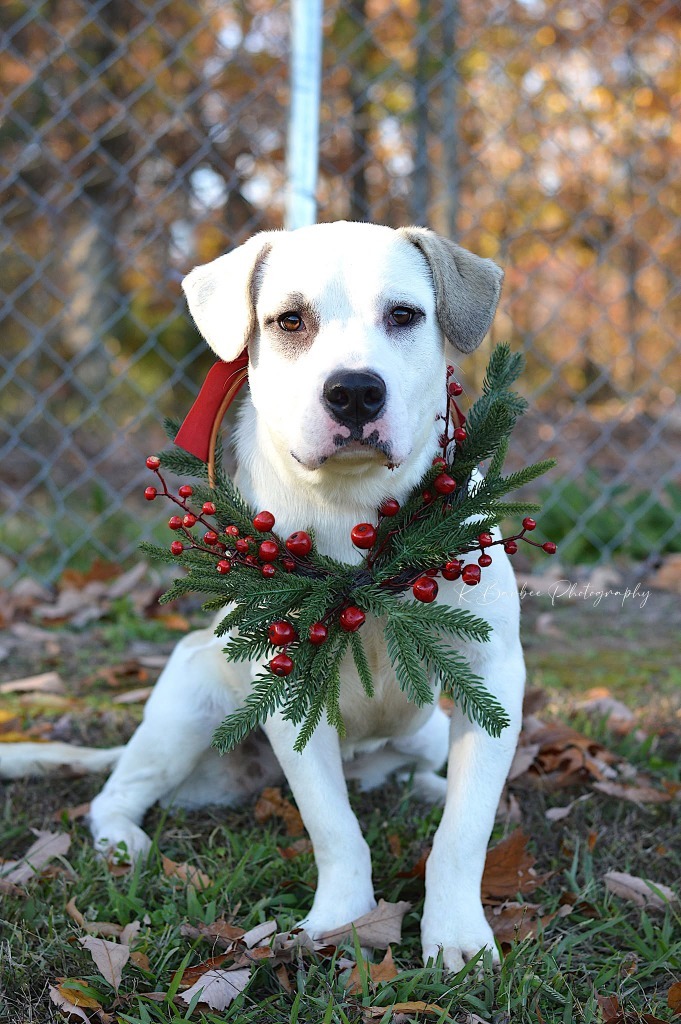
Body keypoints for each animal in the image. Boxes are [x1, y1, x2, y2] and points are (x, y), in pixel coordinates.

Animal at [5, 222, 522, 966]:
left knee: (407, 773)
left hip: (422, 731)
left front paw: (454, 935)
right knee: (116, 792)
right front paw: (340, 918)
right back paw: (122, 841)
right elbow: (333, 827)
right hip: (188, 710)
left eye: (403, 316)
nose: (355, 392)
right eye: (289, 321)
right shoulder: (287, 688)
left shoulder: (492, 676)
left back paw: (426, 787)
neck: (351, 512)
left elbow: (463, 832)